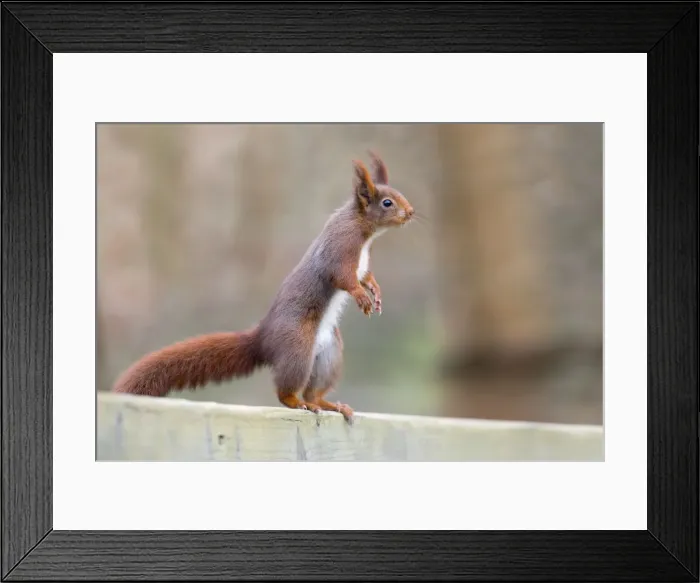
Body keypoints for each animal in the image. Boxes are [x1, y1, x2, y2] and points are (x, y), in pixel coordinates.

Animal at [112, 151, 415, 423]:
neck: (364, 230)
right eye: (387, 202)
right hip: (298, 347)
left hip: (329, 354)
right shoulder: (340, 247)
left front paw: (374, 291)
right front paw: (361, 297)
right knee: (287, 391)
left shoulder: (361, 262)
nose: (411, 212)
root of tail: (264, 337)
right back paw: (297, 402)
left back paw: (329, 404)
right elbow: (342, 277)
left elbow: (365, 276)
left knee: (314, 391)